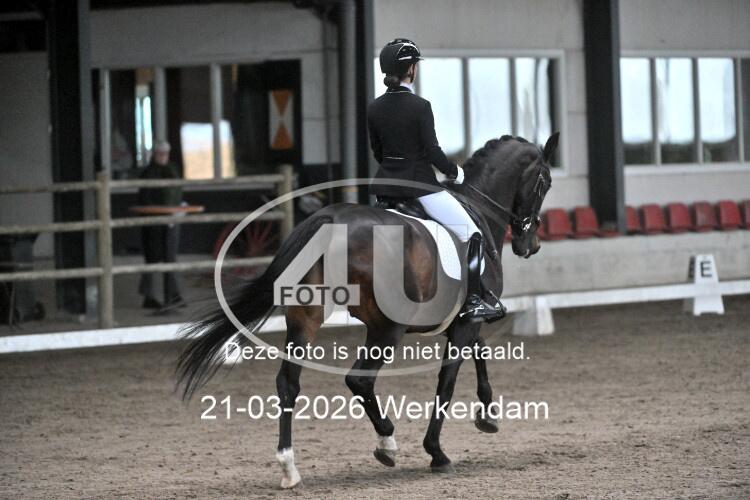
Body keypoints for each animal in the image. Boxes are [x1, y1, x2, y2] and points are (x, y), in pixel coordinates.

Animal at [177, 132, 558, 488]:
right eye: (546, 182)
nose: (531, 245)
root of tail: (326, 220)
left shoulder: (464, 319)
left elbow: (479, 352)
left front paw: (487, 415)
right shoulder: (466, 321)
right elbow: (447, 383)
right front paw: (437, 452)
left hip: (305, 316)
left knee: (288, 382)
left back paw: (289, 467)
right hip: (386, 327)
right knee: (359, 379)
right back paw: (387, 442)